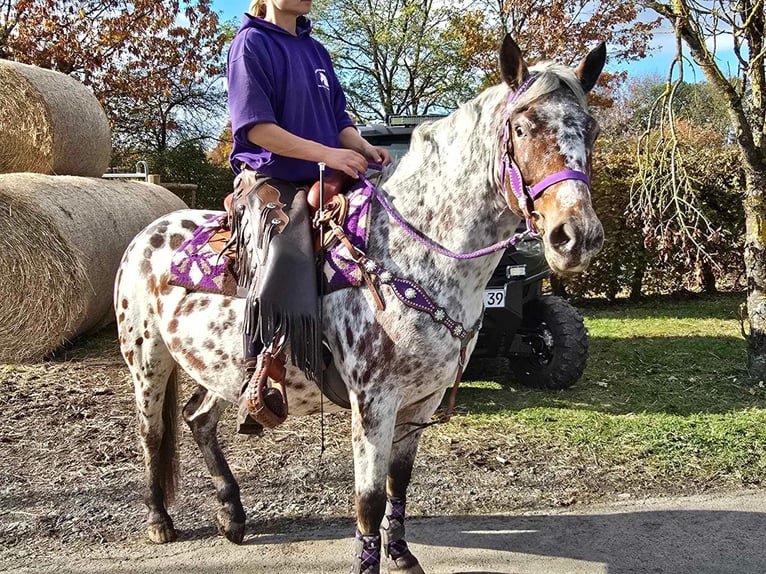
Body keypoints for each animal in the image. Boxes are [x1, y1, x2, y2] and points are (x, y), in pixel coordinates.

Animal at [114, 37, 608, 574]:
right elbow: (368, 500)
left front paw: (402, 555)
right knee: (151, 434)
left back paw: (232, 514)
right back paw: (160, 520)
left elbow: (399, 483)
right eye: (522, 128)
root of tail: (147, 231)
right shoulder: (374, 403)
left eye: (591, 130)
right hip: (148, 362)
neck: (415, 255)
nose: (576, 236)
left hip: (223, 368)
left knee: (198, 419)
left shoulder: (421, 400)